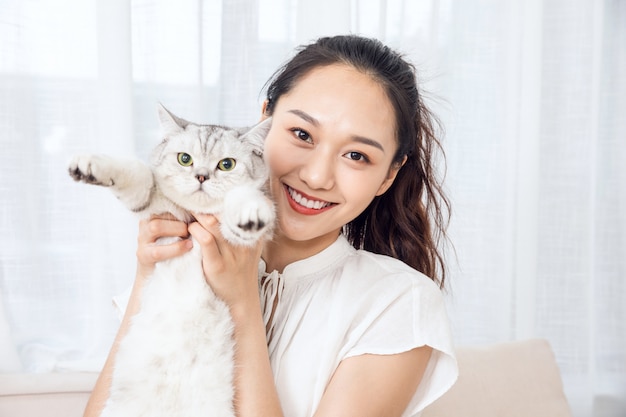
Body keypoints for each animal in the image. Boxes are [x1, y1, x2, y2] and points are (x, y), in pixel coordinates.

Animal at [67, 104, 274, 416]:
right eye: (184, 159)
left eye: (226, 164)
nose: (201, 176)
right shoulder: (152, 204)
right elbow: (139, 173)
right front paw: (91, 165)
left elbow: (243, 198)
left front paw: (249, 210)